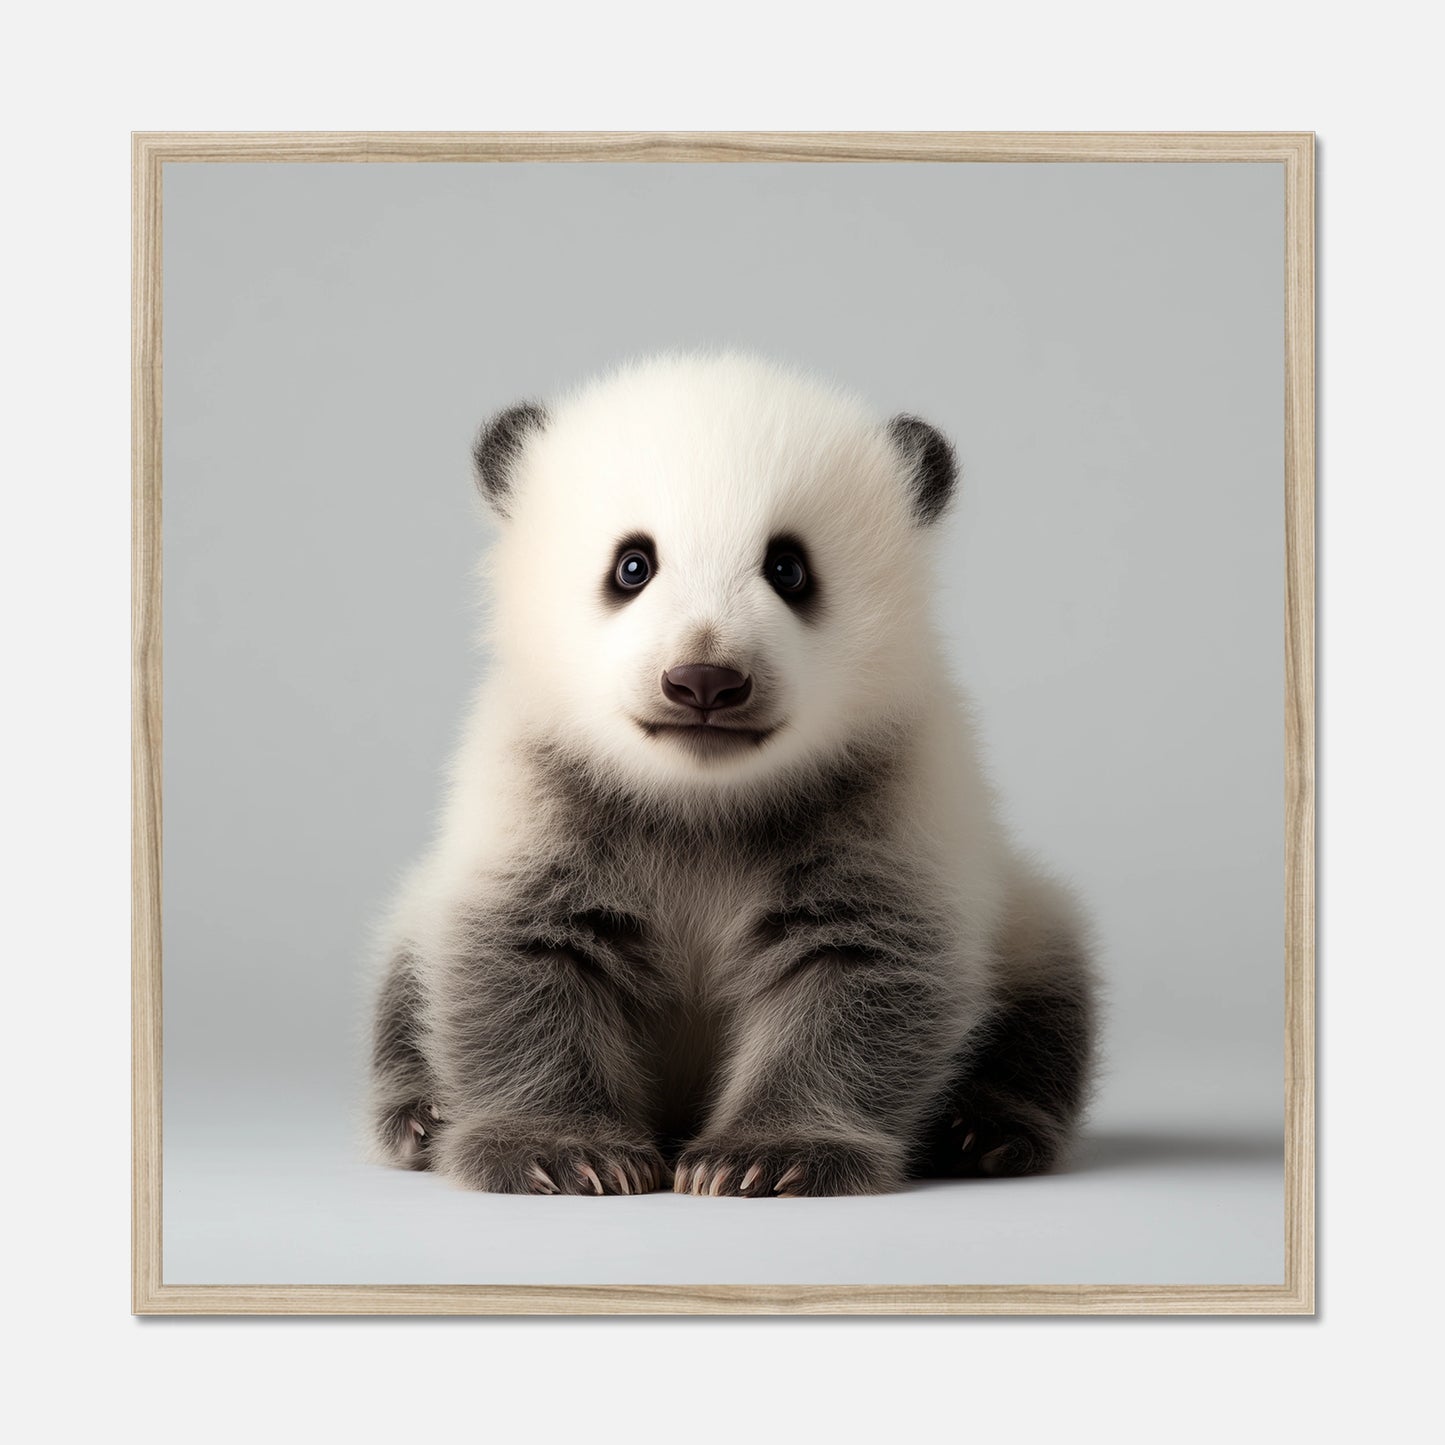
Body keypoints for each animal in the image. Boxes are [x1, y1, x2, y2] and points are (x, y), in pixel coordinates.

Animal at [369, 352, 1096, 1197]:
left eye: (788, 567)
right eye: (632, 565)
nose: (704, 681)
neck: (701, 798)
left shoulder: (891, 791)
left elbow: (860, 974)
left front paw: (767, 1155)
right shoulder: (538, 788)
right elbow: (522, 958)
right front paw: (560, 1151)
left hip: (1023, 917)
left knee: (1046, 1003)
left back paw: (983, 1130)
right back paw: (420, 1116)